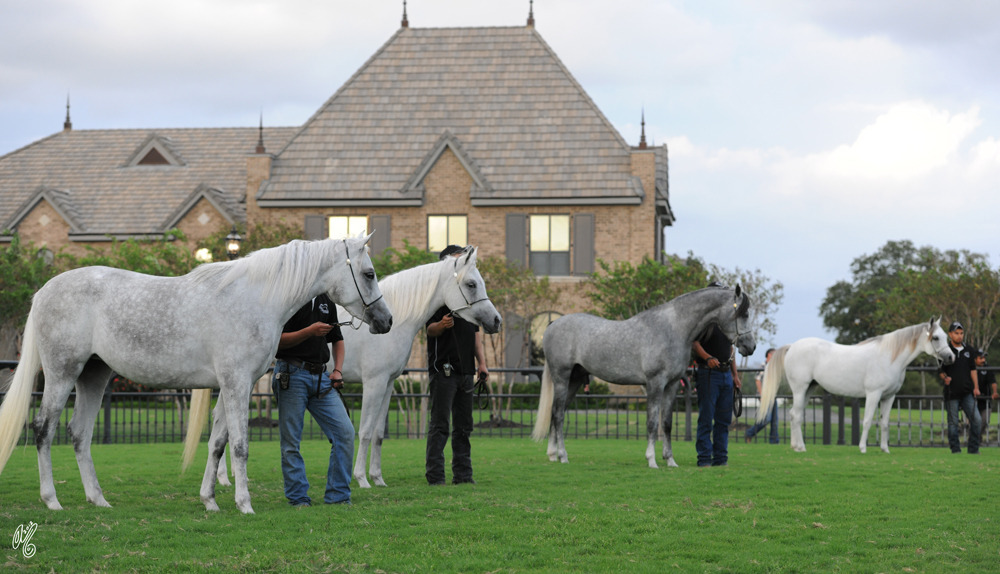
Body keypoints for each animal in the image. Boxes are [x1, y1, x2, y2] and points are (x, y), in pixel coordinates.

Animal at [0, 233, 393, 514]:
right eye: (369, 274)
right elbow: (239, 445)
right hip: (62, 373)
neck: (256, 299)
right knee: (43, 429)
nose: (386, 321)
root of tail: (45, 290)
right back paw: (52, 500)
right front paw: (244, 504)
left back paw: (98, 499)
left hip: (94, 376)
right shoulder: (236, 384)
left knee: (79, 433)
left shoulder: (233, 385)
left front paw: (210, 500)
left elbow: (217, 444)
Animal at [189, 246, 502, 489]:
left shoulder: (389, 384)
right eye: (471, 284)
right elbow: (364, 431)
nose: (496, 321)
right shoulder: (374, 383)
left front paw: (378, 478)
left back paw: (225, 479)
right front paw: (362, 478)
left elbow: (378, 434)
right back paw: (224, 480)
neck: (399, 318)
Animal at [532, 284, 755, 468]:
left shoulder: (672, 385)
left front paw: (670, 460)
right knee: (558, 415)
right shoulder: (655, 383)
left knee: (556, 413)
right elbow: (652, 422)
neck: (672, 329)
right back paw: (562, 455)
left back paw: (552, 455)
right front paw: (652, 460)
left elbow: (666, 423)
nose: (750, 347)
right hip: (562, 378)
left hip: (575, 380)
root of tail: (552, 325)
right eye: (743, 314)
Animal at [756, 318, 955, 454]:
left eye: (946, 336)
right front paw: (862, 448)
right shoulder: (873, 394)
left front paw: (885, 449)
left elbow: (884, 423)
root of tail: (792, 346)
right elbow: (867, 420)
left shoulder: (889, 397)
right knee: (796, 415)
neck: (889, 357)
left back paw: (795, 446)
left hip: (808, 389)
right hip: (800, 389)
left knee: (793, 415)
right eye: (935, 337)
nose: (951, 357)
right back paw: (801, 447)